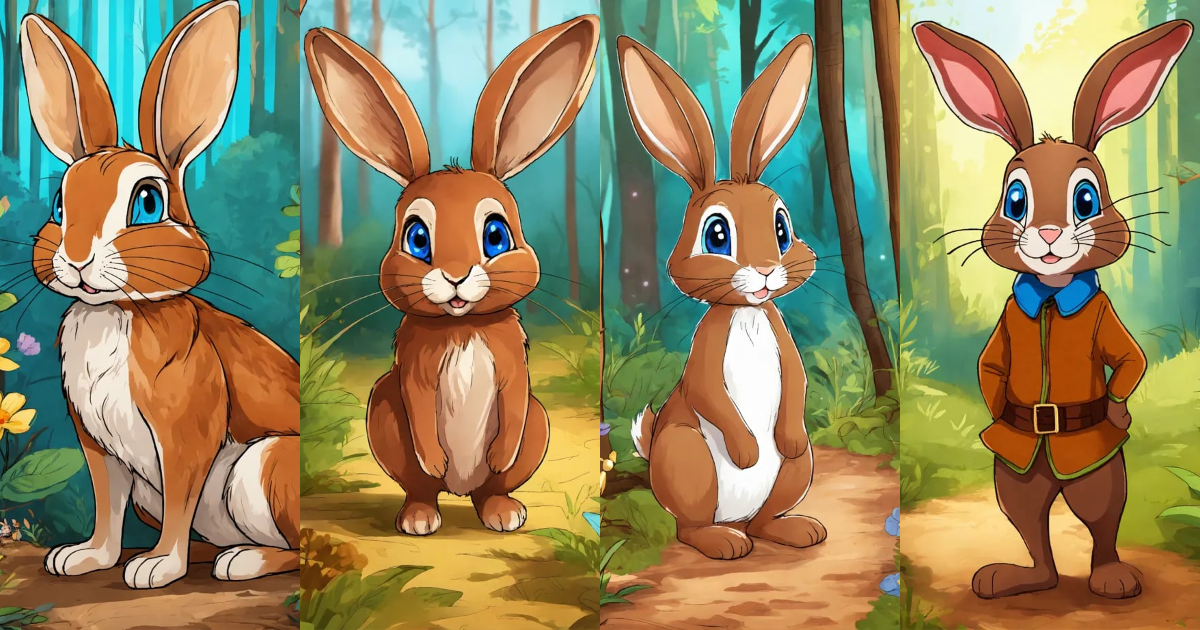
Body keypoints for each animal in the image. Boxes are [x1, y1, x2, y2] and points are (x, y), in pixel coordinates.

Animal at [22, 0, 300, 589]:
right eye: (59, 203)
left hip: (263, 470)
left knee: (288, 546)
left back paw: (240, 561)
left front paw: (156, 567)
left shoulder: (185, 434)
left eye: (148, 203)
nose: (76, 259)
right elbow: (106, 507)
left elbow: (181, 499)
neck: (118, 311)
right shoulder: (97, 445)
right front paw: (84, 558)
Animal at [303, 15, 600, 536]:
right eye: (417, 238)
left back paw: (502, 512)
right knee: (421, 486)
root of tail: (459, 492)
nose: (457, 277)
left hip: (538, 426)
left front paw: (500, 457)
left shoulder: (514, 367)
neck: (462, 328)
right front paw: (434, 460)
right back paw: (420, 516)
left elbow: (515, 400)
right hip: (382, 410)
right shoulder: (412, 373)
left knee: (493, 486)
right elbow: (420, 414)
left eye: (497, 235)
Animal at [617, 34, 825, 560]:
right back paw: (723, 542)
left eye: (781, 227)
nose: (768, 271)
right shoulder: (706, 354)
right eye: (716, 235)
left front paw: (784, 438)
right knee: (688, 528)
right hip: (686, 457)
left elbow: (797, 381)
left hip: (797, 472)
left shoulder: (782, 340)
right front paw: (746, 450)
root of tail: (737, 518)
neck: (747, 317)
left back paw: (795, 529)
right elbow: (707, 391)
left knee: (767, 517)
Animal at [913, 19, 1191, 599]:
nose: (1045, 234)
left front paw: (1117, 411)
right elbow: (990, 366)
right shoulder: (1006, 325)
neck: (1050, 292)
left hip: (1094, 476)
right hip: (1016, 475)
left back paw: (1111, 577)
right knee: (1028, 519)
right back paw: (1018, 577)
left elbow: (1129, 361)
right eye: (1015, 200)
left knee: (1101, 515)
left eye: (1086, 199)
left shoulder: (1105, 317)